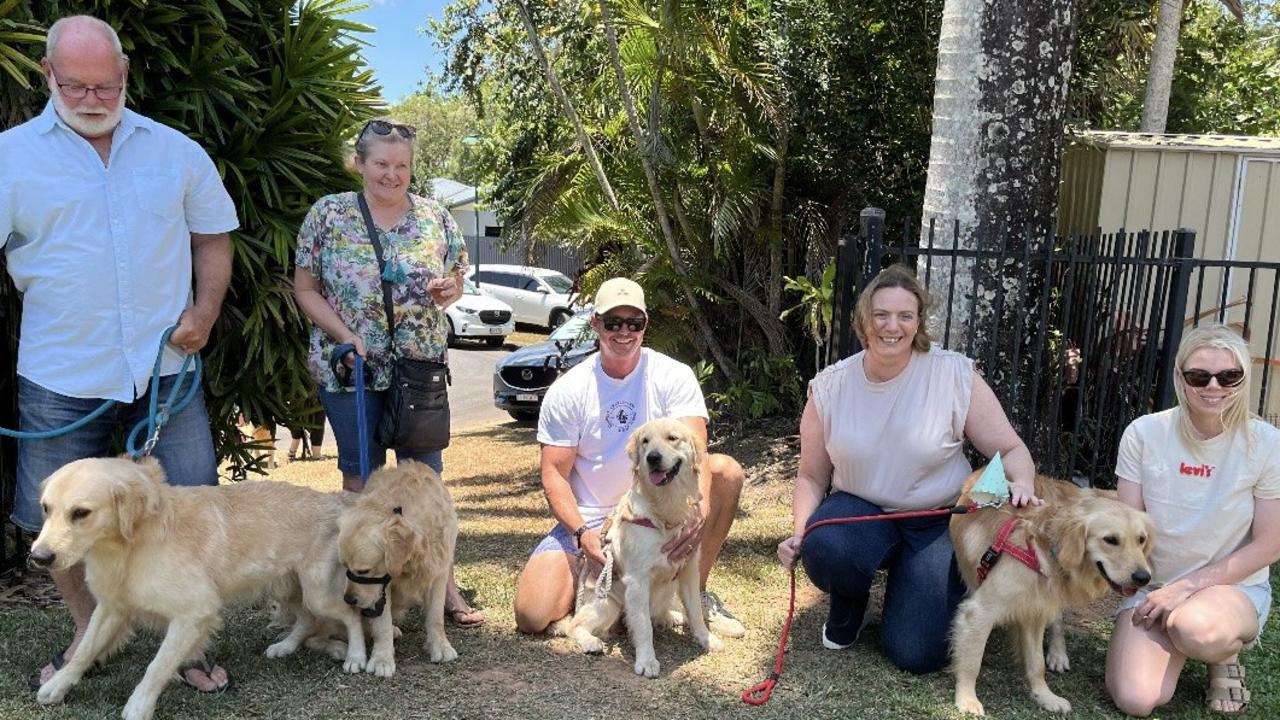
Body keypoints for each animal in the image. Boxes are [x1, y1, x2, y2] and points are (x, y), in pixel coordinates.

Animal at [31, 456, 345, 712]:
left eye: (81, 513)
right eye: (46, 508)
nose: (38, 558)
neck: (132, 543)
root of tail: (335, 501)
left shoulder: (194, 611)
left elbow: (157, 666)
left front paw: (138, 706)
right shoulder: (112, 606)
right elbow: (84, 649)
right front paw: (58, 684)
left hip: (315, 592)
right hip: (287, 589)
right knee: (308, 620)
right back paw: (286, 647)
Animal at [337, 458, 458, 666]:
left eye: (363, 571)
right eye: (344, 567)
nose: (349, 599)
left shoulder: (439, 572)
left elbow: (436, 616)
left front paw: (440, 646)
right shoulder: (382, 588)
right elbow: (382, 625)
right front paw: (382, 660)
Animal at [555, 417, 727, 676]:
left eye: (672, 438)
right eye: (645, 441)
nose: (652, 458)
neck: (666, 509)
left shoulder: (688, 570)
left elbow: (696, 610)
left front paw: (706, 639)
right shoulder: (637, 580)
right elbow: (643, 625)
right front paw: (646, 661)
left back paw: (673, 616)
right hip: (607, 603)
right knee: (575, 625)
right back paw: (591, 642)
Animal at [952, 466, 1152, 712]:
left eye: (1141, 539)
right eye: (1111, 540)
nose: (1143, 577)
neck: (1041, 547)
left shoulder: (1034, 611)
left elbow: (1036, 662)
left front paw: (1045, 696)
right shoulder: (982, 611)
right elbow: (972, 659)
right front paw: (967, 699)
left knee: (1057, 619)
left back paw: (1058, 654)